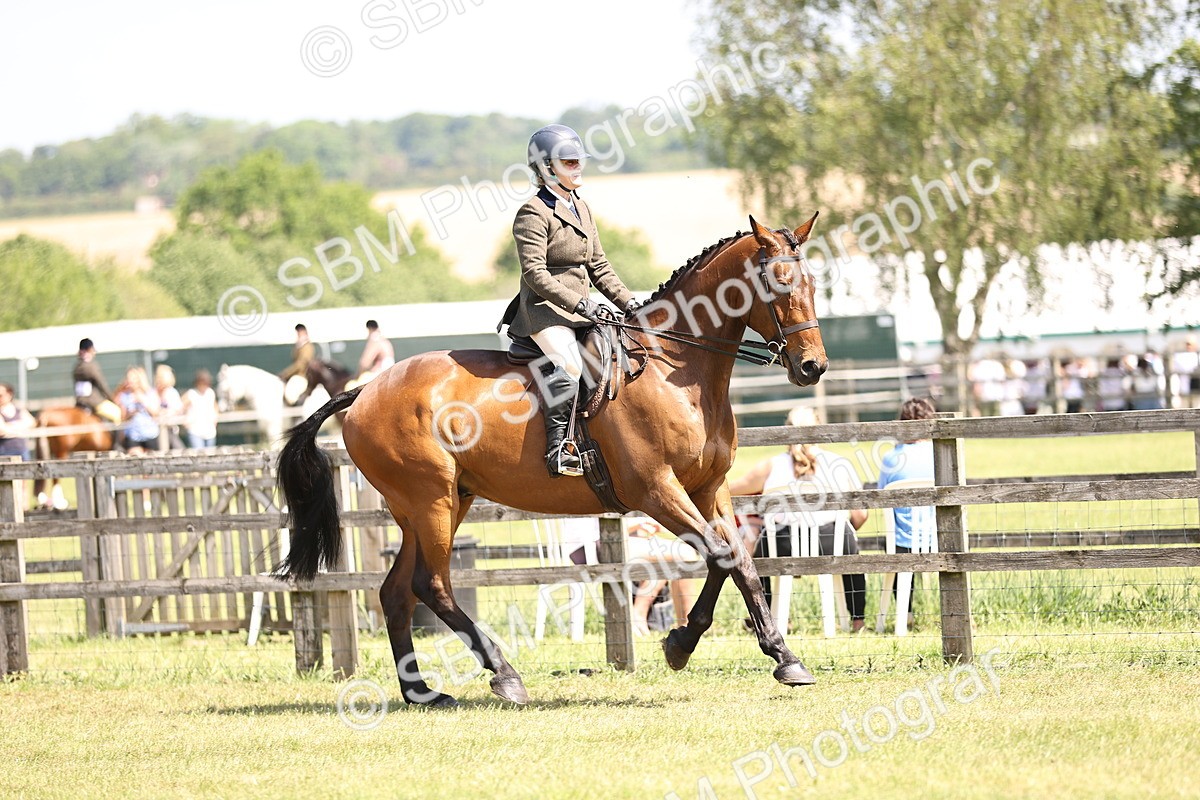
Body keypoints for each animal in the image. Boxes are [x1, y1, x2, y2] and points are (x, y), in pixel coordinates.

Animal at [276, 216, 828, 707]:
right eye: (778, 283)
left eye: (813, 282)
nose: (812, 367)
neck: (676, 370)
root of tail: (367, 390)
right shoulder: (656, 490)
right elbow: (723, 555)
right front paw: (694, 646)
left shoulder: (708, 488)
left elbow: (737, 561)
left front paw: (771, 656)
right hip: (429, 501)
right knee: (429, 585)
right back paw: (504, 675)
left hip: (435, 506)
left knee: (396, 592)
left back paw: (422, 693)